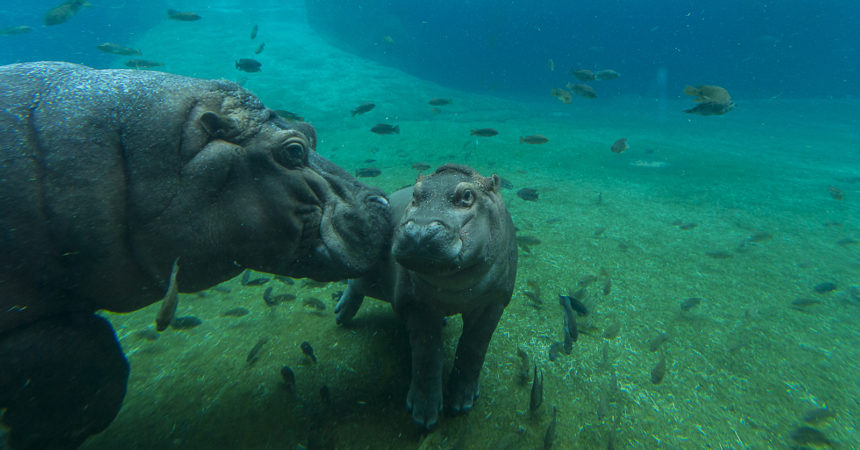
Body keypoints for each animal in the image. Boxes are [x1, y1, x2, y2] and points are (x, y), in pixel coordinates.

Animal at [332, 163, 512, 428]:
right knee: (355, 284)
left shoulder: (494, 302)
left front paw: (462, 402)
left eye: (467, 195)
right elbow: (427, 355)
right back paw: (341, 315)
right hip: (370, 278)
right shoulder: (416, 303)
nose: (419, 231)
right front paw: (424, 415)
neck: (455, 286)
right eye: (415, 195)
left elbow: (474, 348)